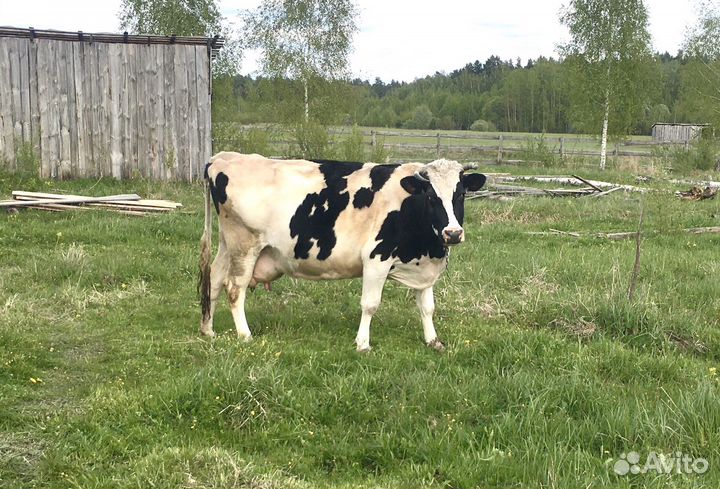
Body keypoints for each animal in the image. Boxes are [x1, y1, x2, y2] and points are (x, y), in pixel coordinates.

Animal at [198, 152, 486, 352]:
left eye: (460, 194)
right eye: (430, 196)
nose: (452, 233)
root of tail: (221, 158)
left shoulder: (424, 267)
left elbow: (427, 307)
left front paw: (433, 341)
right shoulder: (376, 258)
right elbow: (370, 304)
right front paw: (362, 343)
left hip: (228, 245)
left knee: (214, 281)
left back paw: (208, 330)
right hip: (245, 245)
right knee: (235, 288)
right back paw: (245, 335)